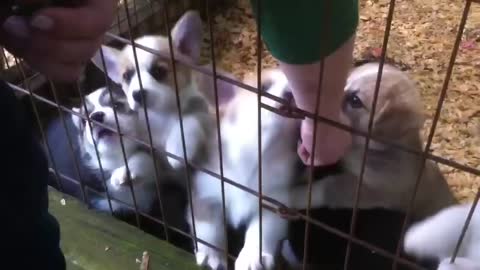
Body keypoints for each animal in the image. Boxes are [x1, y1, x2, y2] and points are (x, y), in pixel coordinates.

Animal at [91, 11, 213, 171]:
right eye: (127, 76)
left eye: (159, 71)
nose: (137, 95)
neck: (161, 116)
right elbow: (139, 159)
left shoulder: (205, 115)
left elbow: (190, 119)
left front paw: (178, 147)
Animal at [189, 70, 302, 270]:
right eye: (264, 86)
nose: (291, 94)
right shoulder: (206, 193)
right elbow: (209, 230)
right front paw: (212, 255)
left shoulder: (273, 207)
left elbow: (261, 232)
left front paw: (252, 257)